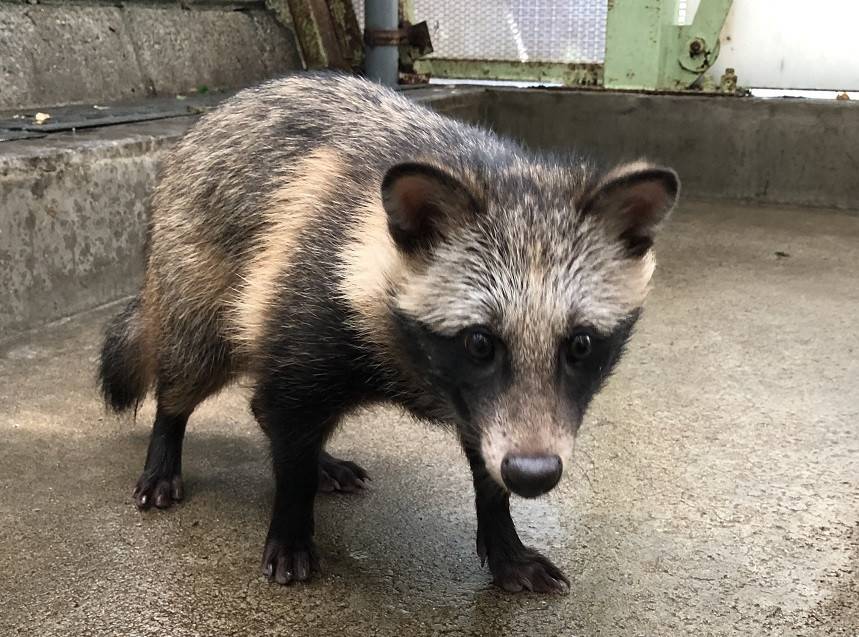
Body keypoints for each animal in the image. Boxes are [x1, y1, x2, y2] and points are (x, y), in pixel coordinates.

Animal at [99, 72, 680, 592]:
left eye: (580, 344)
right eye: (480, 342)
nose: (533, 474)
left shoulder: (482, 406)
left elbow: (484, 449)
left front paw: (501, 532)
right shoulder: (310, 288)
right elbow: (287, 412)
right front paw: (290, 518)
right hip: (199, 264)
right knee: (198, 360)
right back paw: (170, 432)